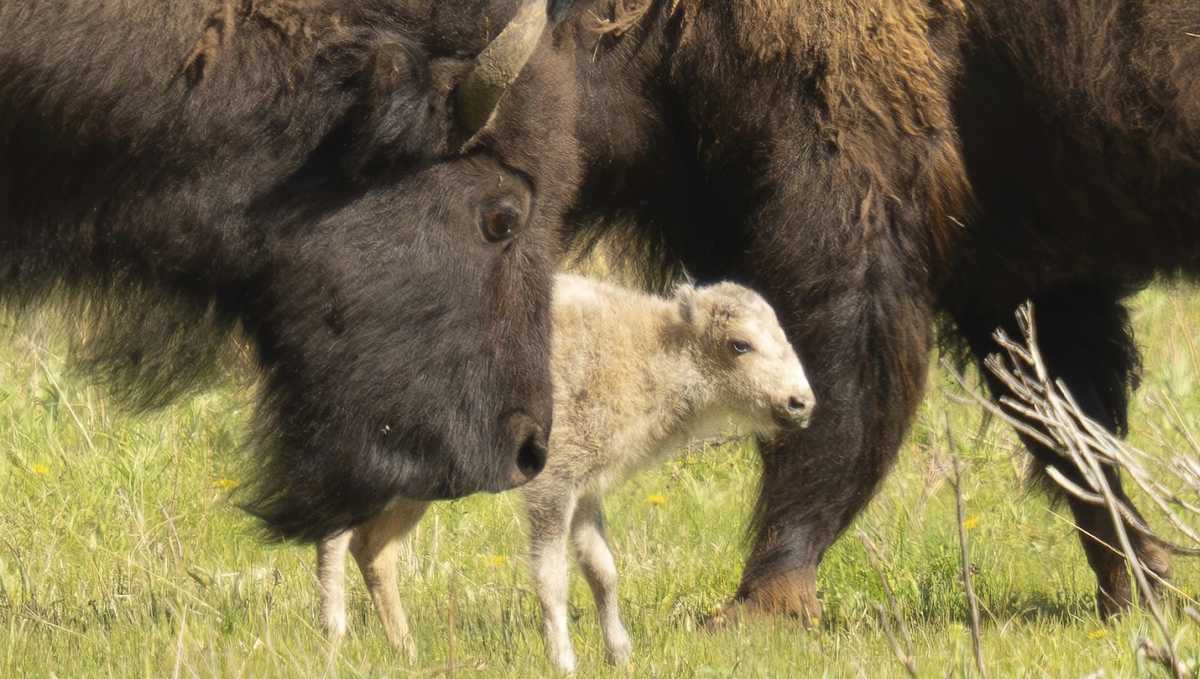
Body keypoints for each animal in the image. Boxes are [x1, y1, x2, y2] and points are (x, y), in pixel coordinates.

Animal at [547, 1, 1200, 623]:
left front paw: (763, 604)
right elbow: (1067, 428)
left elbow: (839, 390)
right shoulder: (1014, 271)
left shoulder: (851, 205)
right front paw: (1135, 590)